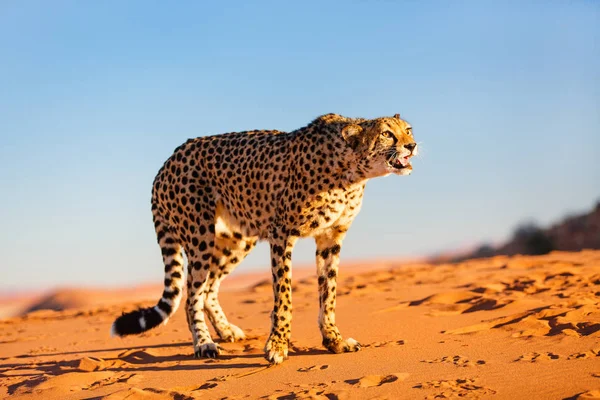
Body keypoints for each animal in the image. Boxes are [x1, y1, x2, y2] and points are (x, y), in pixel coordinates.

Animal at [111, 113, 418, 366]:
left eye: (408, 130)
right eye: (387, 134)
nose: (412, 146)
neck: (351, 170)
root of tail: (168, 161)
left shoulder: (331, 237)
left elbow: (328, 293)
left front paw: (334, 340)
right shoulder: (282, 233)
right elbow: (284, 296)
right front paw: (278, 345)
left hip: (237, 239)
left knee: (209, 287)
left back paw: (225, 331)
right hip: (200, 236)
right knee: (192, 295)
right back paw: (203, 343)